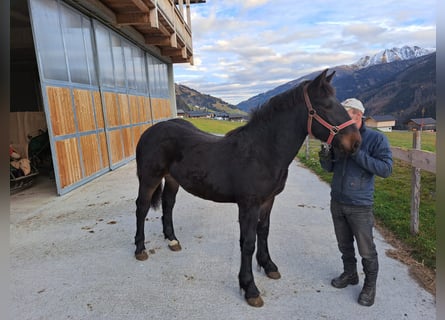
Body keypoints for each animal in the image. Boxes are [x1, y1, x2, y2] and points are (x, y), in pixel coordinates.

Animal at [133, 70, 360, 308]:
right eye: (326, 105)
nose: (356, 142)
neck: (262, 152)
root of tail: (150, 132)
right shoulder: (249, 205)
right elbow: (248, 242)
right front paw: (250, 288)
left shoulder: (268, 200)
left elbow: (264, 232)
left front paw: (268, 266)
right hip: (149, 179)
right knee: (142, 207)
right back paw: (140, 249)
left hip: (171, 179)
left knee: (168, 205)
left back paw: (172, 240)